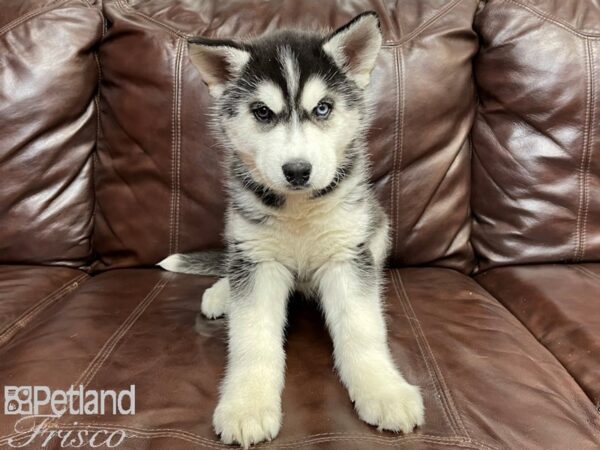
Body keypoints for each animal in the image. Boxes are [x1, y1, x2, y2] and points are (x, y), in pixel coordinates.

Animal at [158, 12, 422, 448]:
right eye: (263, 113)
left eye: (323, 108)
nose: (297, 171)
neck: (300, 209)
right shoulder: (258, 261)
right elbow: (252, 339)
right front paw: (247, 404)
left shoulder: (348, 257)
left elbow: (362, 330)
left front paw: (384, 390)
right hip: (240, 237)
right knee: (232, 267)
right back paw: (222, 292)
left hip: (377, 226)